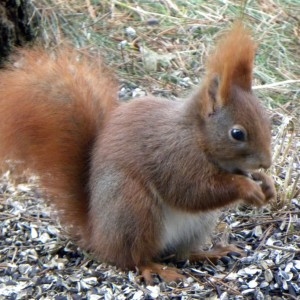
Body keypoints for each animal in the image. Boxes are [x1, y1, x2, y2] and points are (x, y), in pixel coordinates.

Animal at [0, 22, 276, 282]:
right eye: (237, 133)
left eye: (265, 118)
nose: (267, 162)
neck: (196, 136)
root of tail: (98, 236)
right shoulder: (174, 156)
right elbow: (193, 191)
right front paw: (247, 188)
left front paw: (266, 184)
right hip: (134, 209)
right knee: (132, 258)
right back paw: (154, 268)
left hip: (197, 224)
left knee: (180, 253)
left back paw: (209, 253)